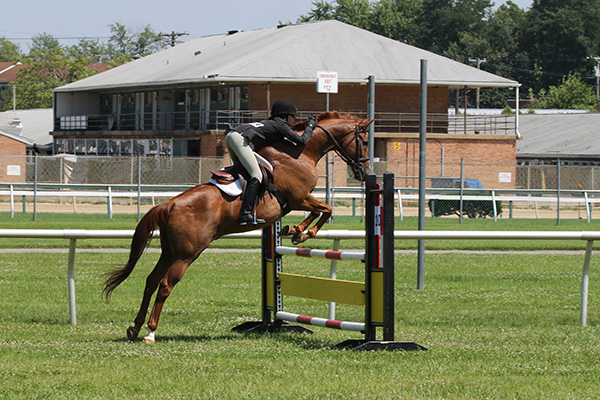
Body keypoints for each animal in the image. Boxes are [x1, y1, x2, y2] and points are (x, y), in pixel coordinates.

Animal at [105, 111, 372, 342]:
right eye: (365, 141)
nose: (364, 171)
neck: (300, 152)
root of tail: (170, 204)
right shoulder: (299, 198)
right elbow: (326, 209)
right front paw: (301, 233)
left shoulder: (300, 199)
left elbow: (321, 210)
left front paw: (294, 231)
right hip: (186, 254)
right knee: (164, 285)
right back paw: (150, 331)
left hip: (169, 251)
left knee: (151, 281)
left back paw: (135, 327)